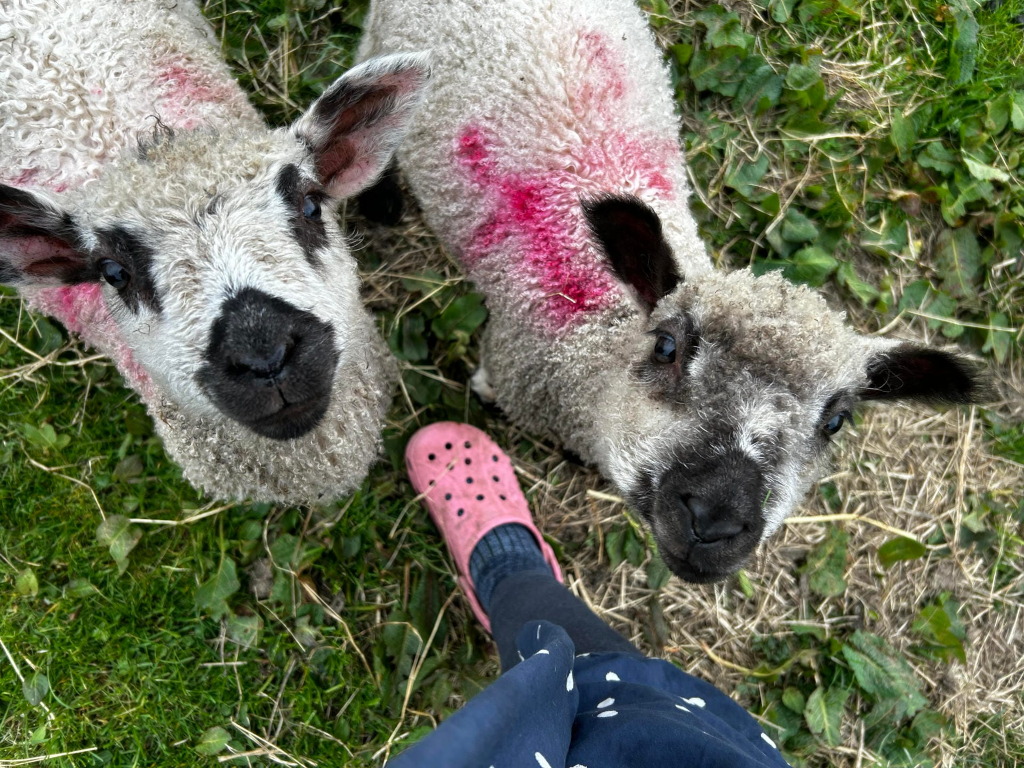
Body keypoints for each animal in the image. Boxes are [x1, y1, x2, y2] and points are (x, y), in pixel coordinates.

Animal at [357, 0, 988, 582]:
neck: (601, 336)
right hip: (385, 39)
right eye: (667, 346)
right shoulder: (511, 361)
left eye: (836, 421)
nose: (713, 520)